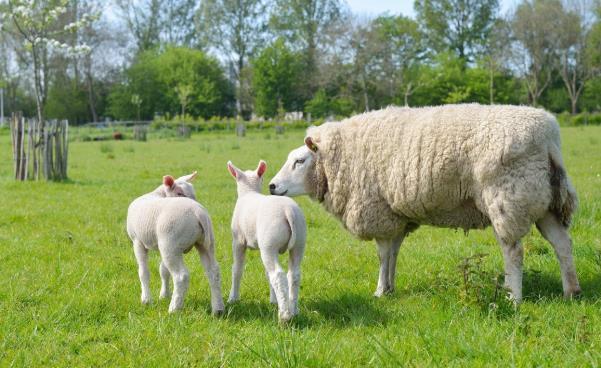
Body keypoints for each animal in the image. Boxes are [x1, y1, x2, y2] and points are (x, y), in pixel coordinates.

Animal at [125, 172, 224, 314]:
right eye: (179, 193)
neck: (158, 194)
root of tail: (198, 212)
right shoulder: (160, 244)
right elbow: (163, 270)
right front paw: (164, 295)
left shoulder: (137, 241)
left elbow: (143, 272)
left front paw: (146, 300)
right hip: (203, 244)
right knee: (213, 271)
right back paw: (218, 309)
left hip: (170, 243)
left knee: (181, 276)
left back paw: (174, 308)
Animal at [227, 160, 308, 320]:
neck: (249, 192)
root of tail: (288, 210)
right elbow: (266, 274)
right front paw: (273, 300)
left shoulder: (238, 241)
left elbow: (237, 269)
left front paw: (233, 298)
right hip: (297, 241)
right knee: (293, 275)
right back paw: (293, 310)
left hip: (269, 243)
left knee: (277, 274)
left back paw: (284, 316)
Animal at [270, 103, 580, 302]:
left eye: (300, 161)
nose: (272, 186)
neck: (338, 158)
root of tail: (550, 135)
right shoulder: (395, 215)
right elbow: (393, 253)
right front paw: (390, 287)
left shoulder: (378, 211)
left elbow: (382, 255)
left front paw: (380, 291)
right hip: (543, 201)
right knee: (562, 244)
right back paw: (571, 292)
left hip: (508, 198)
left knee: (513, 251)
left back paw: (512, 297)